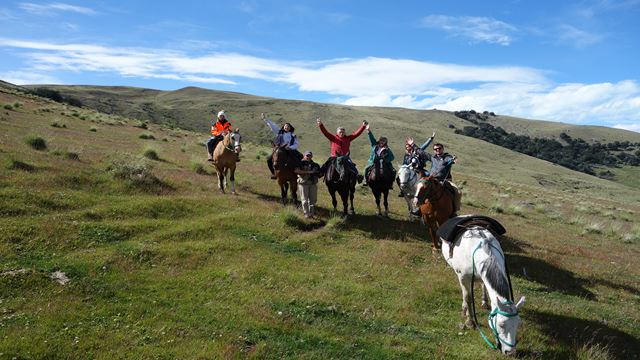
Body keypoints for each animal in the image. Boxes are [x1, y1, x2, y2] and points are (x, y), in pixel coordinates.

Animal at [440, 226, 524, 356]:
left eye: (518, 324)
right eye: (501, 324)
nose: (510, 353)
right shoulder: (464, 278)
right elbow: (468, 298)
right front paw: (469, 321)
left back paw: (484, 302)